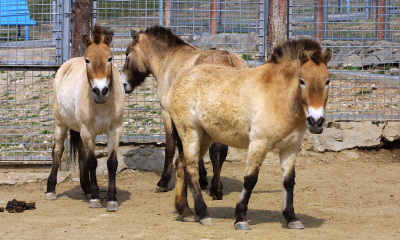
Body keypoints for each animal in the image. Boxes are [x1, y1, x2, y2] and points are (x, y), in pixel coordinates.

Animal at [45, 24, 125, 212]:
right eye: (87, 60)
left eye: (110, 58)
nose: (100, 91)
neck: (102, 104)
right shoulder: (88, 131)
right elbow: (92, 162)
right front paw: (96, 198)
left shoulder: (115, 130)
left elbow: (112, 163)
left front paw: (111, 200)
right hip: (61, 124)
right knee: (57, 151)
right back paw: (51, 190)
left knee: (81, 152)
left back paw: (86, 188)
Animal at [122, 25, 247, 200]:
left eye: (127, 53)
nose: (124, 84)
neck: (169, 59)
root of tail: (231, 61)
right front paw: (200, 178)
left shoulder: (167, 113)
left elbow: (170, 147)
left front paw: (163, 182)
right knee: (222, 150)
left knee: (216, 150)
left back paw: (216, 189)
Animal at [167, 39, 332, 231]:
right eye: (302, 81)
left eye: (328, 81)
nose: (316, 121)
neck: (279, 97)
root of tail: (180, 78)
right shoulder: (258, 143)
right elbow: (250, 179)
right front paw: (241, 218)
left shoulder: (291, 147)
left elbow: (288, 181)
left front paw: (292, 217)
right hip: (190, 133)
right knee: (191, 168)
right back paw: (203, 213)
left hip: (205, 137)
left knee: (181, 164)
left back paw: (185, 211)